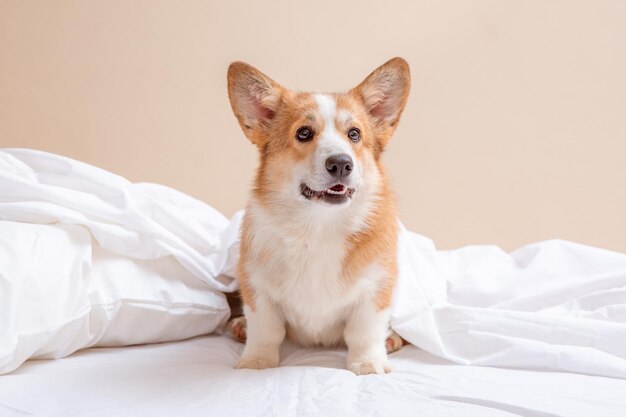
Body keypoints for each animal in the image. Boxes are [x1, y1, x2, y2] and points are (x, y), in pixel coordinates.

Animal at [227, 57, 408, 374]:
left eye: (354, 134)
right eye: (304, 133)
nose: (341, 164)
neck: (319, 226)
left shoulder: (376, 288)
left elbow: (364, 331)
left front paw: (368, 363)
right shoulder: (257, 287)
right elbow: (265, 330)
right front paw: (256, 363)